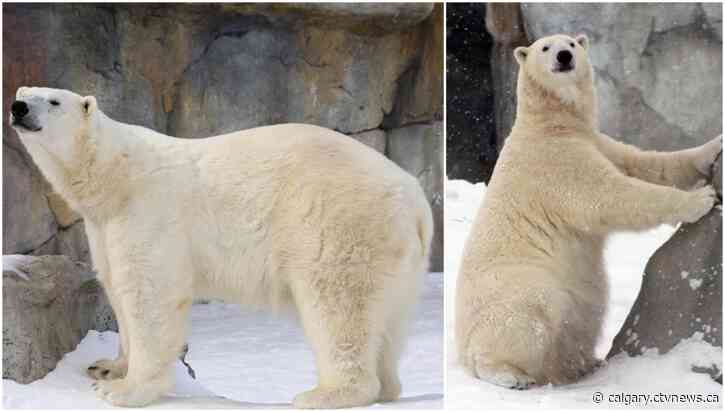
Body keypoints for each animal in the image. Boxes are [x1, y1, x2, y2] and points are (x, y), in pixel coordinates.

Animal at [9, 87, 433, 408]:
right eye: (22, 93)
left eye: (54, 100)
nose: (18, 108)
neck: (116, 174)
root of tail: (415, 200)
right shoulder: (104, 226)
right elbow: (115, 284)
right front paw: (107, 366)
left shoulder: (150, 212)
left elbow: (148, 294)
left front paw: (122, 390)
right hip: (398, 257)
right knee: (388, 318)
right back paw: (387, 386)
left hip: (341, 223)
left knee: (336, 303)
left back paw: (324, 394)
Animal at [455, 34, 721, 389]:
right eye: (545, 47)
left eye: (571, 43)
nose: (564, 56)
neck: (550, 126)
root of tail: (461, 350)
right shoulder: (556, 163)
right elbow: (611, 195)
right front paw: (701, 199)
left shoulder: (598, 142)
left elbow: (646, 163)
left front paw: (715, 145)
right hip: (516, 286)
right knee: (535, 313)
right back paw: (510, 374)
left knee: (585, 312)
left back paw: (581, 364)